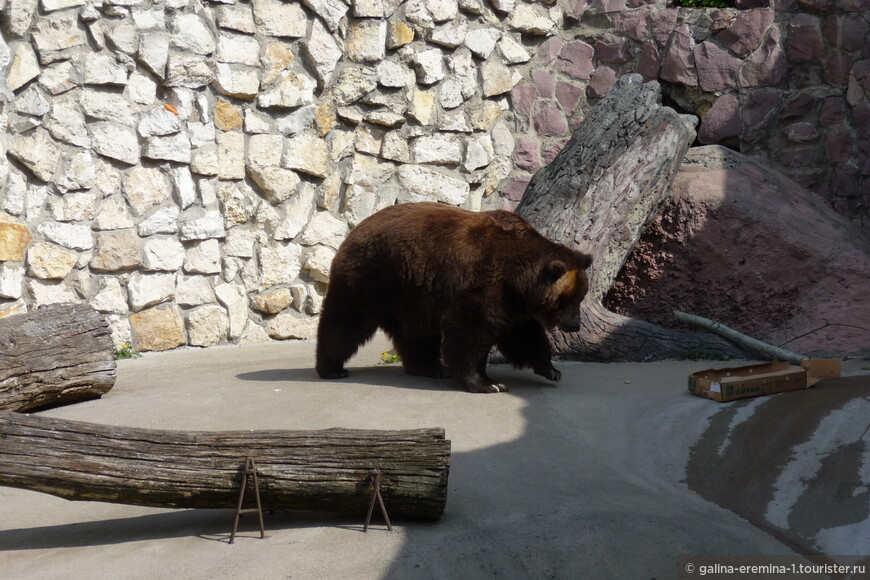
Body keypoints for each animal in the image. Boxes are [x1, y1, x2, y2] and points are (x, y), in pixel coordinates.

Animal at [314, 201, 592, 394]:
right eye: (566, 300)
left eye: (580, 297)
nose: (574, 325)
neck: (518, 278)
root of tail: (354, 229)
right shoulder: (483, 284)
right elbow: (469, 333)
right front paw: (488, 383)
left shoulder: (514, 305)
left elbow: (526, 336)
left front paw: (552, 370)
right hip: (375, 277)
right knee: (346, 321)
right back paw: (332, 369)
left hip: (412, 291)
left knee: (417, 336)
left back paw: (429, 368)